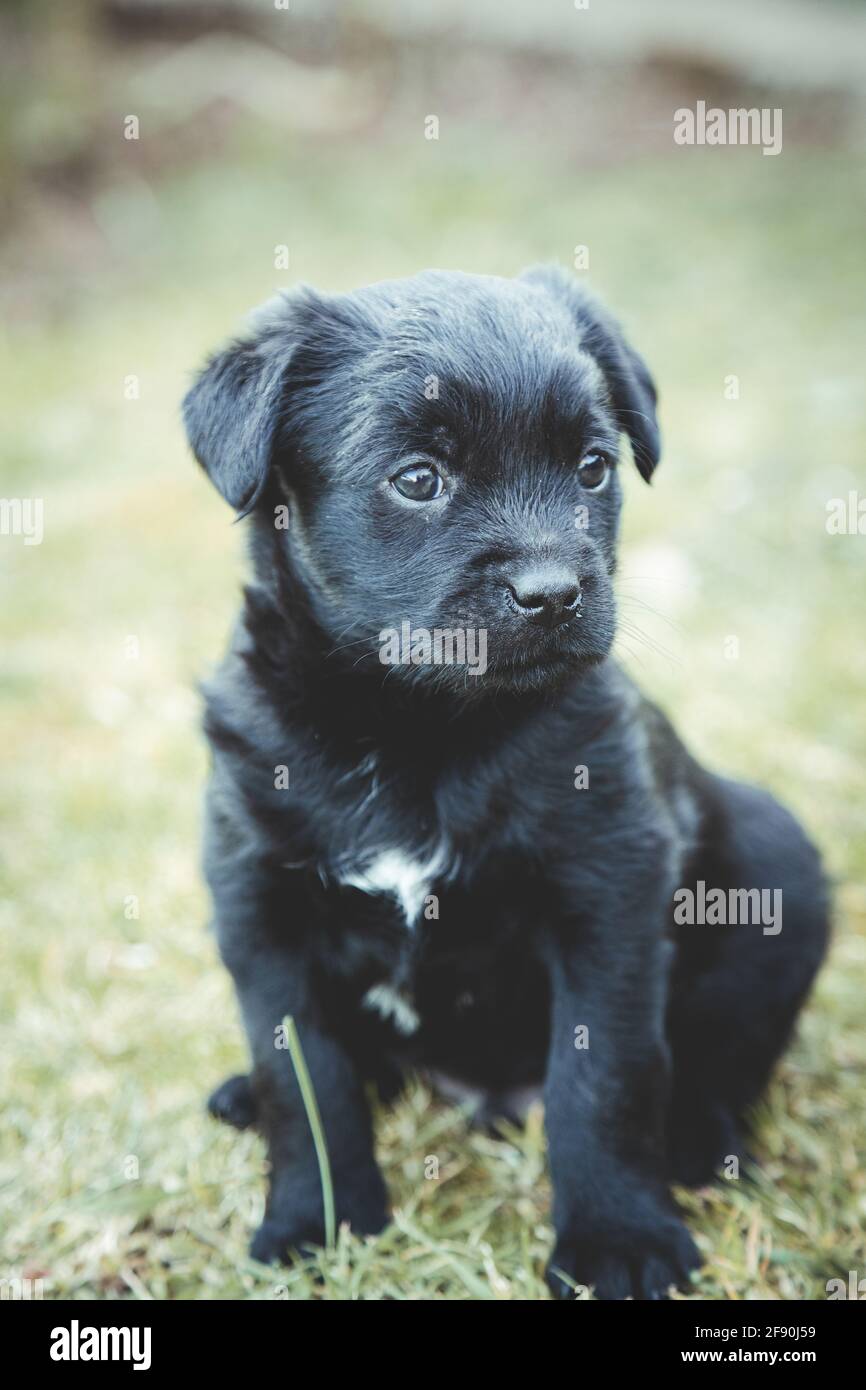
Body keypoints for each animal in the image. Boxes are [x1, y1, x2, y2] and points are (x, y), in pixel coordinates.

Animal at [186, 268, 828, 1301]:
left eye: (594, 468)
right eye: (417, 479)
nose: (554, 593)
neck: (420, 731)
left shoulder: (608, 891)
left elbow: (606, 1078)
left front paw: (618, 1240)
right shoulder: (260, 906)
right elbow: (306, 1081)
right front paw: (314, 1223)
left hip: (778, 862)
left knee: (719, 1059)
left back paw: (698, 1145)